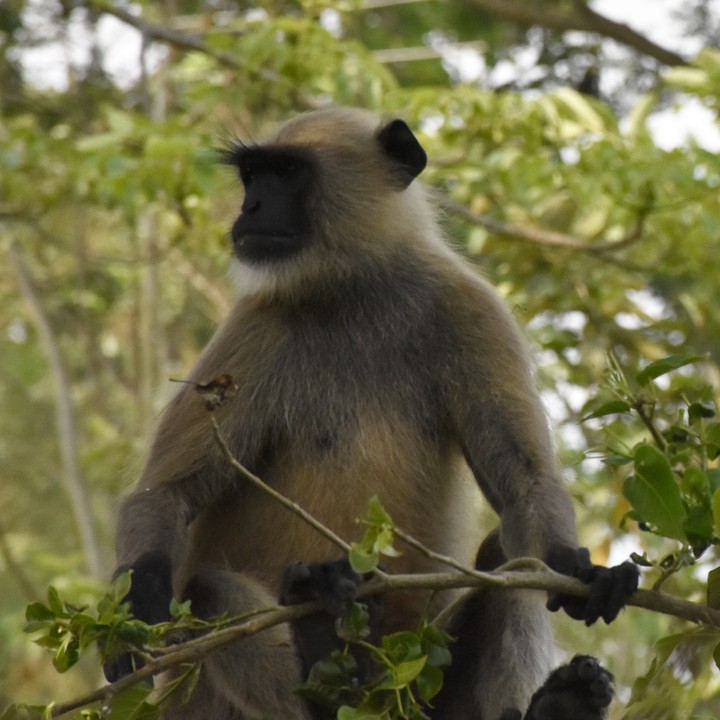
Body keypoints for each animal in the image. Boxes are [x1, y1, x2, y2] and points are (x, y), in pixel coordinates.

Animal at [104, 107, 639, 719]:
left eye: (288, 174)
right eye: (252, 177)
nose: (251, 208)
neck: (354, 289)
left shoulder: (473, 310)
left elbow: (526, 485)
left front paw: (582, 570)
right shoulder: (254, 327)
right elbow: (164, 494)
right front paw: (136, 614)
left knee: (516, 559)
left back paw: (559, 700)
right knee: (209, 591)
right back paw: (326, 669)